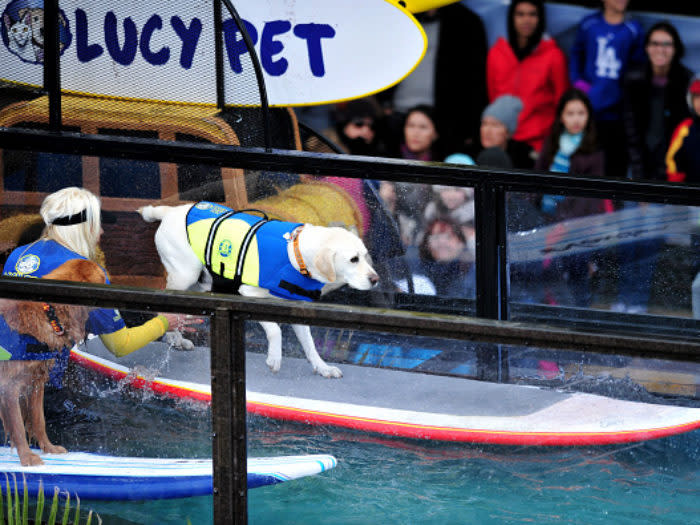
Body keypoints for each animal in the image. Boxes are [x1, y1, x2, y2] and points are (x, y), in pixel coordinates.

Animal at [140, 201, 380, 376]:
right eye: (353, 259)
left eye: (366, 255)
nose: (376, 279)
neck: (297, 256)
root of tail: (170, 210)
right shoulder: (249, 295)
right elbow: (275, 330)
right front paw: (274, 358)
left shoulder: (297, 309)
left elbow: (310, 345)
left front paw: (323, 368)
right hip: (184, 275)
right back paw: (174, 337)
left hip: (198, 284)